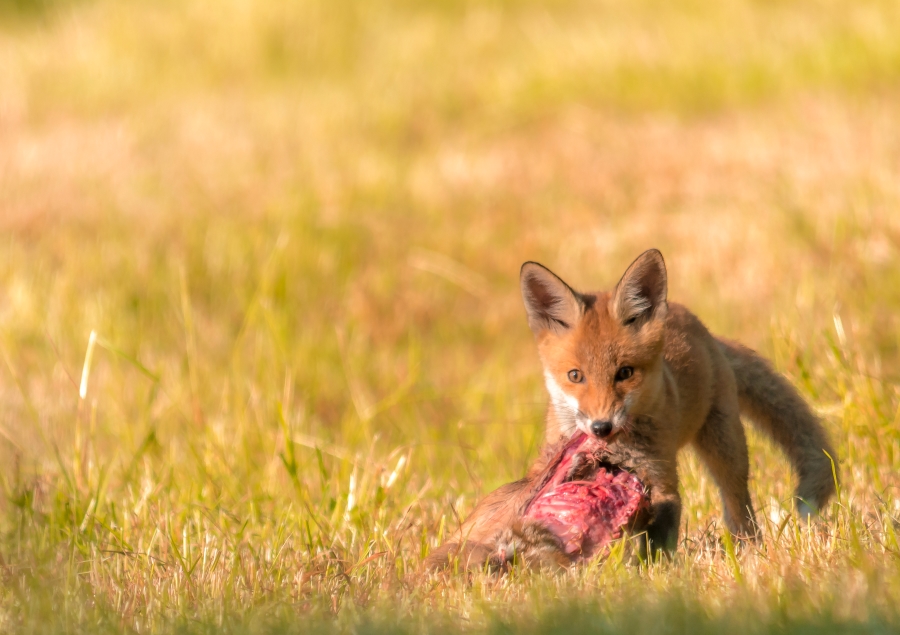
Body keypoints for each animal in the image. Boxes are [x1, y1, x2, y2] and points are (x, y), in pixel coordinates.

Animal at [426, 248, 840, 572]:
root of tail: (694, 322)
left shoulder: (661, 478)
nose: (601, 427)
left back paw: (748, 547)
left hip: (725, 445)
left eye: (624, 373)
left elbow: (660, 533)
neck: (617, 450)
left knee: (737, 503)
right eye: (575, 376)